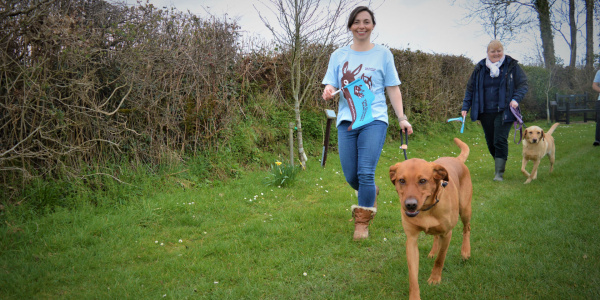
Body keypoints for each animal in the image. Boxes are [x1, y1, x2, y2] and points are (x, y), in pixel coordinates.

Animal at [390, 138, 474, 300]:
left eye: (423, 180)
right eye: (401, 180)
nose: (410, 205)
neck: (426, 210)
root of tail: (456, 159)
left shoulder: (447, 233)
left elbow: (440, 259)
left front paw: (435, 278)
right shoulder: (411, 240)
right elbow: (413, 276)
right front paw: (414, 295)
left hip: (465, 209)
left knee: (466, 228)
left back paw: (465, 251)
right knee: (436, 236)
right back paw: (433, 250)